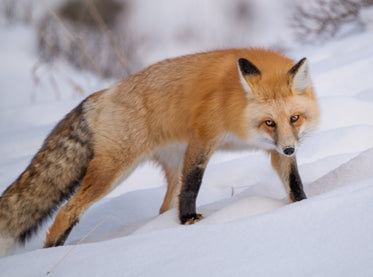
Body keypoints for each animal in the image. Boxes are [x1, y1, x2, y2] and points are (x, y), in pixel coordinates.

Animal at [0, 47, 320, 254]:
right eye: (269, 122)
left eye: (294, 118)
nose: (290, 148)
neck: (235, 105)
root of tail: (102, 93)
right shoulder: (203, 137)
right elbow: (194, 184)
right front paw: (190, 221)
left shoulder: (275, 149)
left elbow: (294, 182)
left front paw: (303, 206)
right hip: (114, 170)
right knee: (67, 211)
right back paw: (49, 254)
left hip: (169, 166)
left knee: (163, 209)